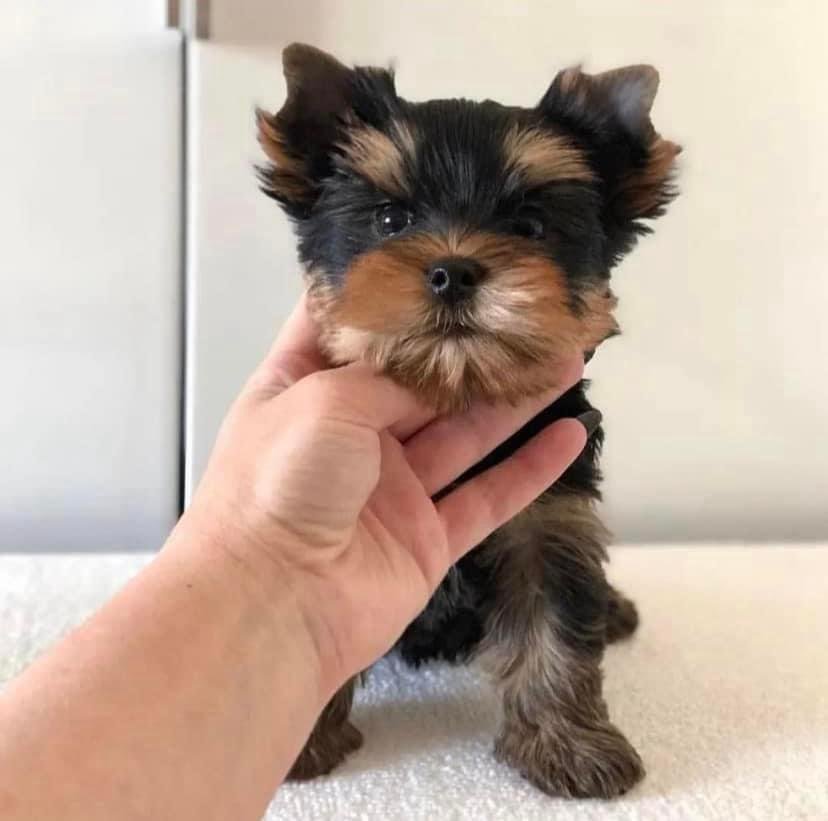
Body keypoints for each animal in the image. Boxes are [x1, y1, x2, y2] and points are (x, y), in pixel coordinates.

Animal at [258, 41, 680, 796]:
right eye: (390, 221)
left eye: (530, 228)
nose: (453, 269)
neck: (456, 387)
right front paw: (299, 734)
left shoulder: (551, 515)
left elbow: (556, 627)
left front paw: (569, 744)